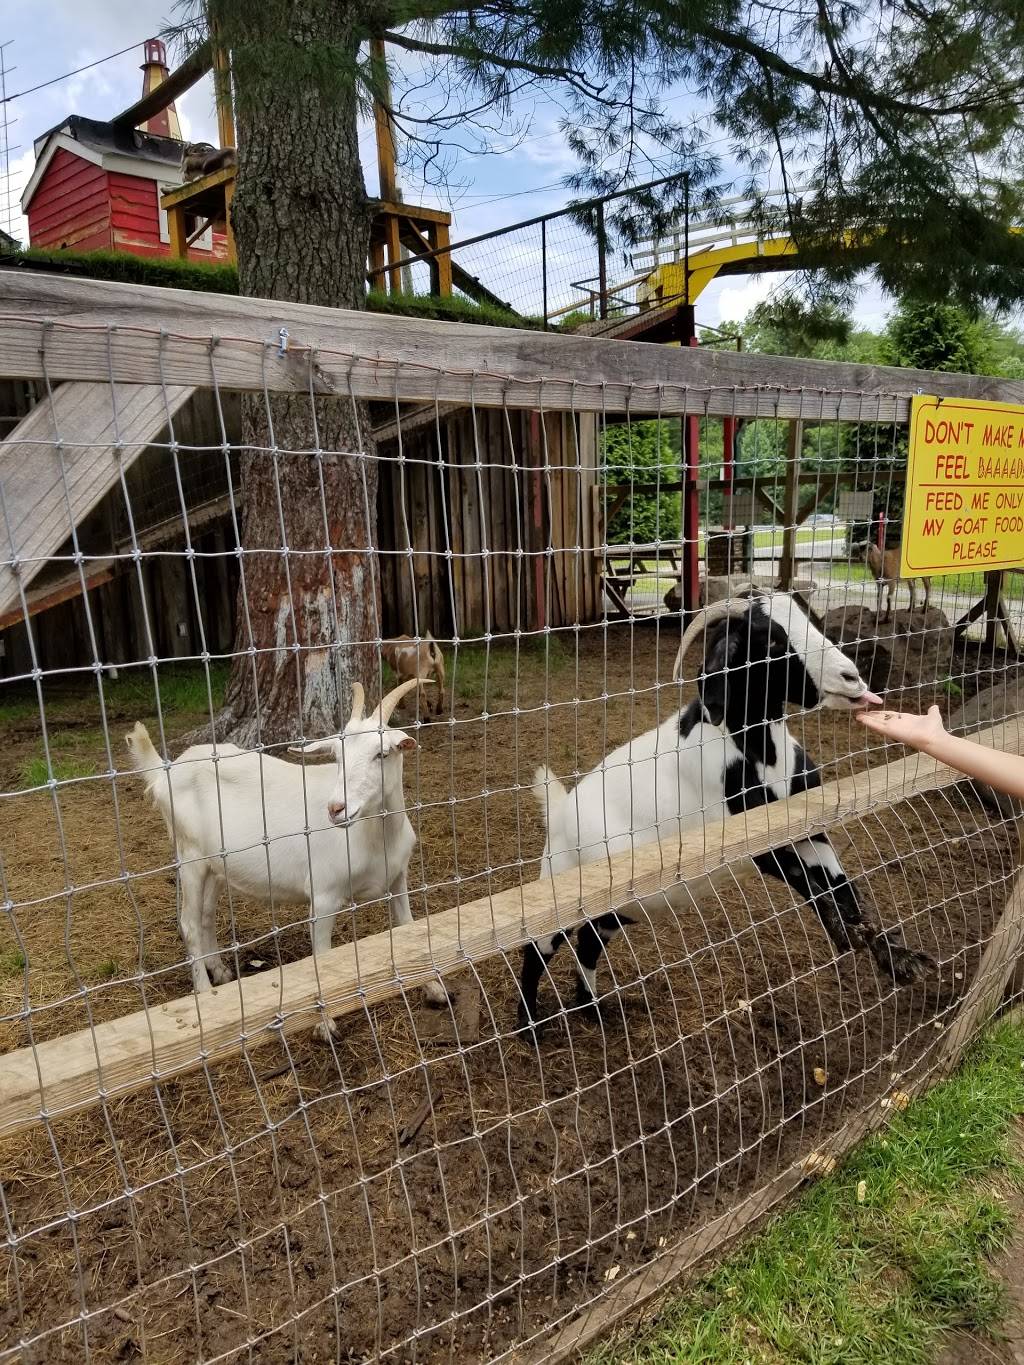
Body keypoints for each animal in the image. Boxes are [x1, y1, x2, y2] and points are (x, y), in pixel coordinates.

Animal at [126, 678, 445, 1034]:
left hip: (215, 865)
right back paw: (205, 993)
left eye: (383, 753)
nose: (336, 808)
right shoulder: (324, 895)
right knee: (189, 923)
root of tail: (164, 772)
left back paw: (220, 974)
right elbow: (322, 957)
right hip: (189, 856)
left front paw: (435, 989)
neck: (373, 837)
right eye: (337, 756)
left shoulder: (398, 879)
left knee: (206, 915)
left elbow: (409, 928)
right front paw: (325, 1024)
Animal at [518, 591, 934, 1029]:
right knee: (537, 951)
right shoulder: (753, 842)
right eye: (771, 642)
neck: (760, 753)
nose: (851, 678)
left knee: (589, 941)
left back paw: (591, 1008)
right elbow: (811, 884)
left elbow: (843, 888)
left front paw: (899, 959)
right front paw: (849, 937)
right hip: (558, 888)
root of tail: (559, 811)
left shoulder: (807, 826)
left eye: (813, 621)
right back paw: (530, 1027)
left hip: (617, 908)